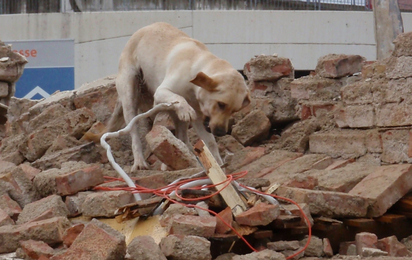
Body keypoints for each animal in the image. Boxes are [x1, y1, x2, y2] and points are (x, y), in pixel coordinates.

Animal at [107, 22, 248, 172]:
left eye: (234, 110)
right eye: (221, 104)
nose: (221, 132)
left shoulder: (199, 117)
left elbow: (210, 143)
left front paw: (219, 166)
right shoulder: (161, 91)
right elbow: (180, 99)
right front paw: (185, 107)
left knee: (182, 137)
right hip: (129, 96)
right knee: (134, 133)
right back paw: (139, 162)